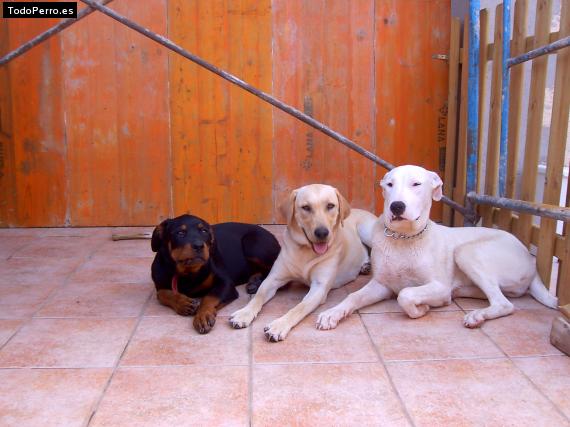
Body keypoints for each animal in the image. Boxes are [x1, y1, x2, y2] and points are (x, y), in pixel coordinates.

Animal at [151, 214, 280, 334]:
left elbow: (210, 297)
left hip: (252, 245)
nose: (199, 245)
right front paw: (183, 303)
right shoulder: (159, 281)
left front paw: (203, 316)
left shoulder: (225, 283)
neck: (188, 272)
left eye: (204, 231)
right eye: (180, 233)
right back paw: (254, 281)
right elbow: (161, 294)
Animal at [229, 184, 374, 342]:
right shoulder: (273, 279)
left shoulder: (319, 288)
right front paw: (244, 313)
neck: (305, 251)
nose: (322, 233)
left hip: (367, 232)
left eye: (330, 206)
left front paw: (279, 325)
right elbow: (257, 297)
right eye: (306, 207)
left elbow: (299, 308)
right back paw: (365, 265)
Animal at [316, 165, 556, 332]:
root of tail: (531, 260)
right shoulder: (381, 285)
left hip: (466, 252)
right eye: (389, 185)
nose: (396, 206)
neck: (403, 239)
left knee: (504, 304)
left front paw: (421, 309)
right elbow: (353, 297)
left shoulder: (440, 288)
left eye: (416, 184)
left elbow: (405, 294)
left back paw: (476, 316)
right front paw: (332, 313)